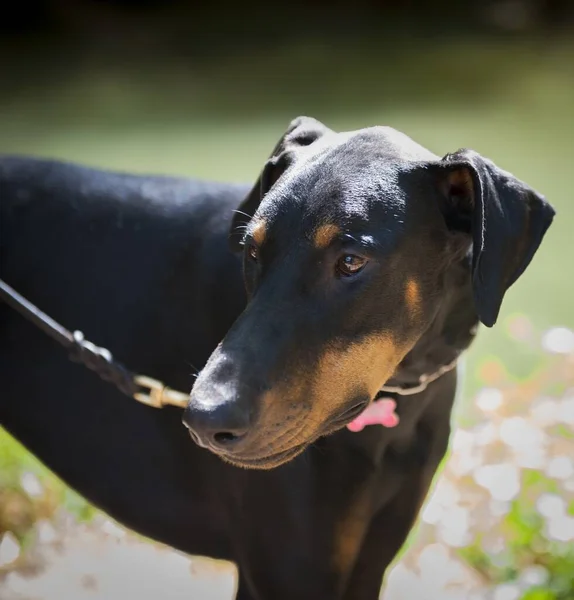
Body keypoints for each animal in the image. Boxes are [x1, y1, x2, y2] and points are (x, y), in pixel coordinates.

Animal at [1, 116, 560, 596]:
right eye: (252, 250)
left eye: (351, 260)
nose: (203, 421)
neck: (398, 404)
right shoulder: (288, 574)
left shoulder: (368, 563)